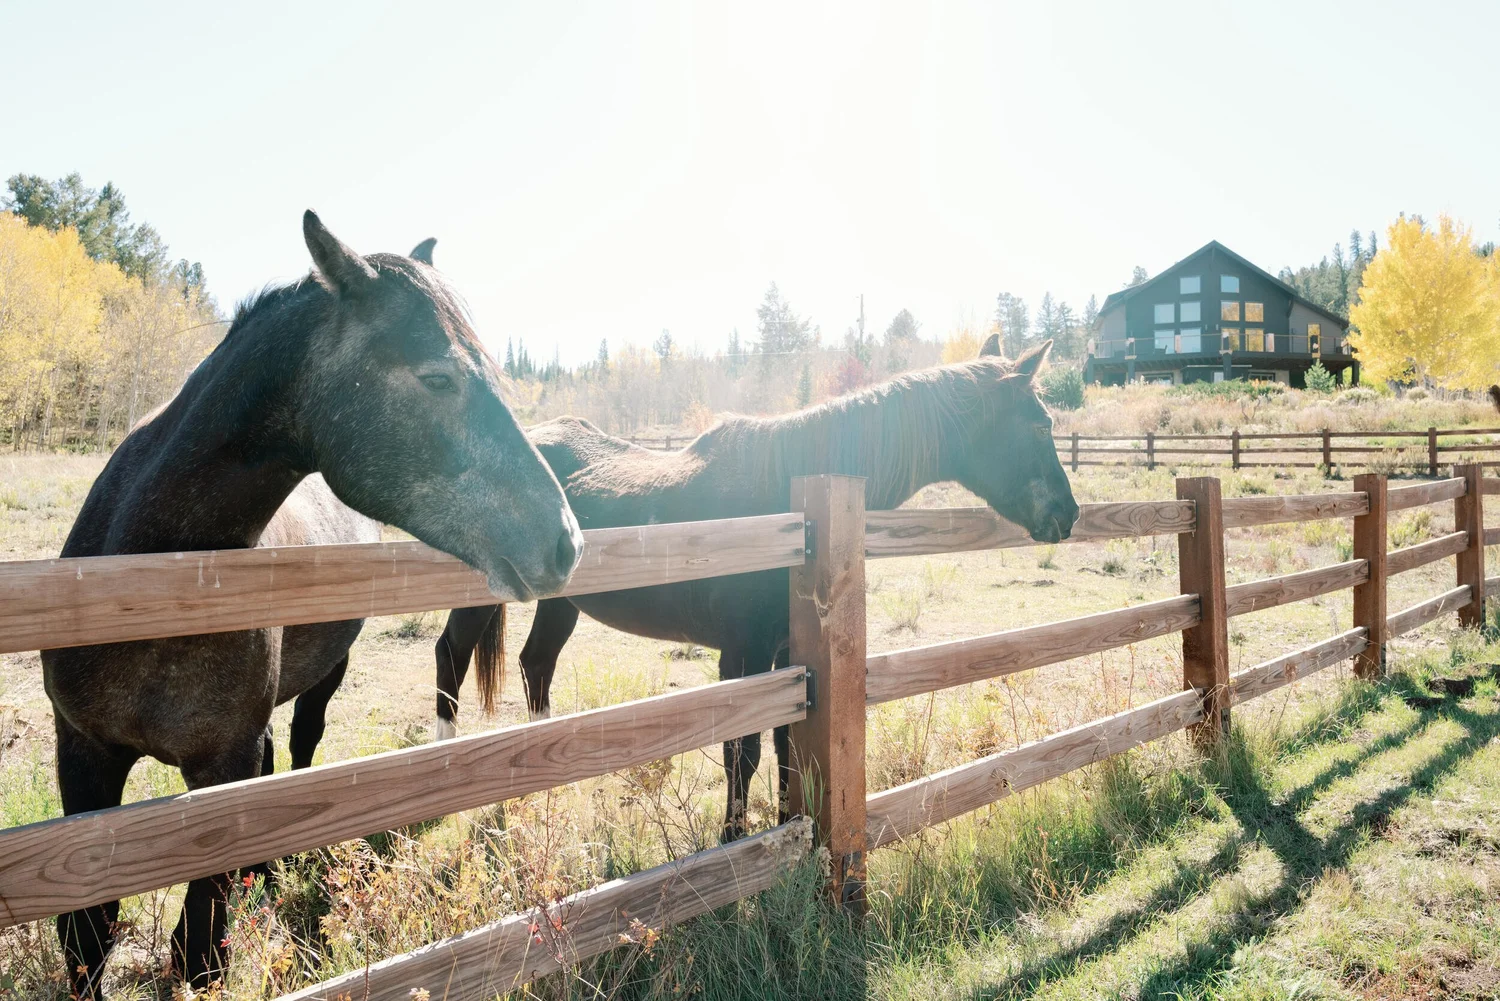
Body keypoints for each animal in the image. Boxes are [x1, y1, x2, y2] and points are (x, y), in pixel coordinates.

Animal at [40, 212, 583, 998]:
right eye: (438, 376)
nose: (567, 541)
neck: (151, 590)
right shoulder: (83, 756)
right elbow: (89, 933)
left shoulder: (222, 770)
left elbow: (201, 945)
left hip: (325, 675)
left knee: (298, 748)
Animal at [340, 335, 1077, 843]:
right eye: (1039, 423)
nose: (1067, 515)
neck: (789, 500)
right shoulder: (740, 653)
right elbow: (740, 751)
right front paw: (732, 839)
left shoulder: (785, 654)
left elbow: (782, 743)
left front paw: (783, 822)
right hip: (480, 596)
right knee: (451, 656)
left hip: (562, 602)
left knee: (534, 663)